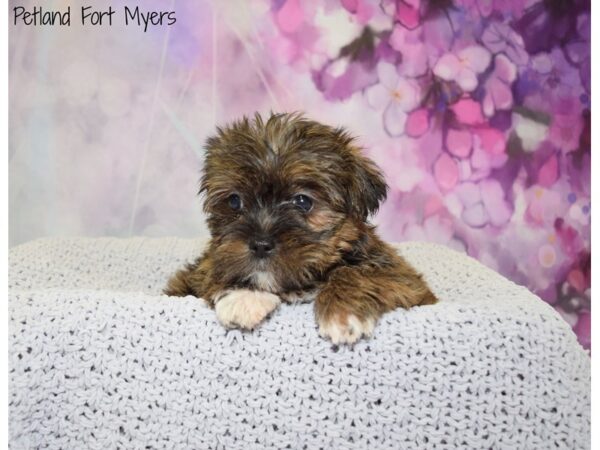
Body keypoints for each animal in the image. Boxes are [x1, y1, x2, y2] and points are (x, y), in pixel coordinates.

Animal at [164, 112, 436, 344]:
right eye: (234, 201)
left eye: (303, 201)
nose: (260, 244)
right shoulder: (198, 269)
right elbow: (215, 268)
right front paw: (243, 294)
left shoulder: (403, 277)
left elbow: (357, 272)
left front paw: (342, 312)